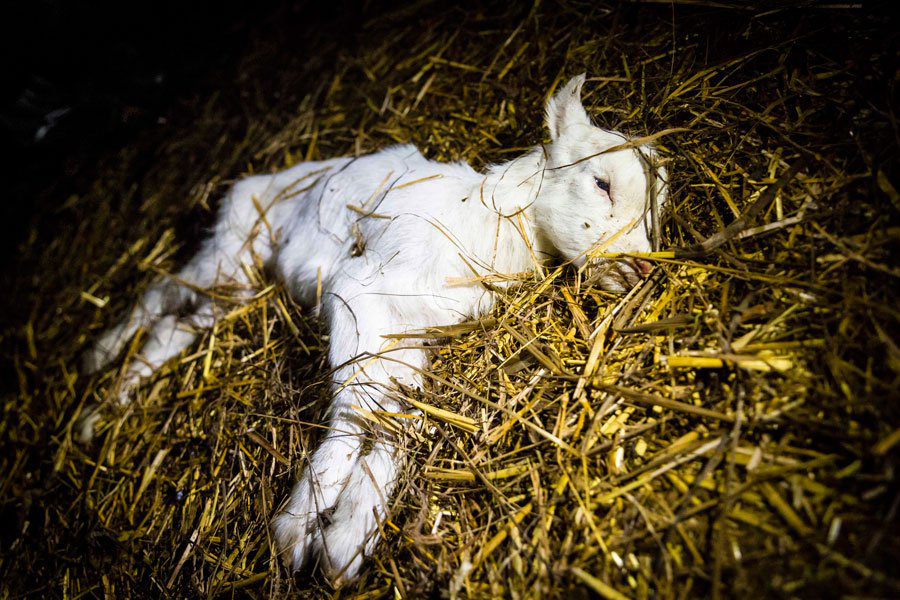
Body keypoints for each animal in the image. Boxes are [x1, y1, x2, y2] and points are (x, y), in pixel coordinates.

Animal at [80, 74, 666, 582]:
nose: (644, 268)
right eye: (600, 183)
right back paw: (96, 380)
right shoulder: (358, 293)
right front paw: (297, 530)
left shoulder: (416, 337)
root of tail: (254, 180)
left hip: (241, 285)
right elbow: (354, 406)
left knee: (178, 328)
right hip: (232, 247)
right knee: (160, 292)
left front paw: (344, 541)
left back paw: (116, 396)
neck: (484, 225)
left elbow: (401, 415)